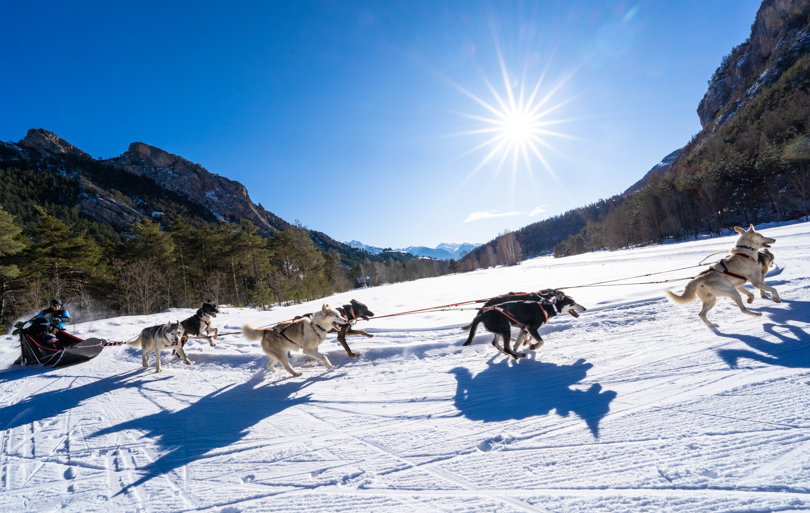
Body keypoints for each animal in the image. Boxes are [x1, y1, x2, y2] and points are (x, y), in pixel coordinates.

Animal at [460, 294, 588, 358]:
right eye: (572, 303)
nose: (585, 308)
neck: (548, 307)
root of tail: (482, 314)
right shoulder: (532, 329)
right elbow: (541, 341)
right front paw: (533, 346)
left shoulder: (524, 329)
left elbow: (517, 343)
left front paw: (519, 349)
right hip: (506, 328)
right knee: (505, 347)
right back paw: (517, 355)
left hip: (500, 330)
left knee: (496, 343)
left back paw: (512, 354)